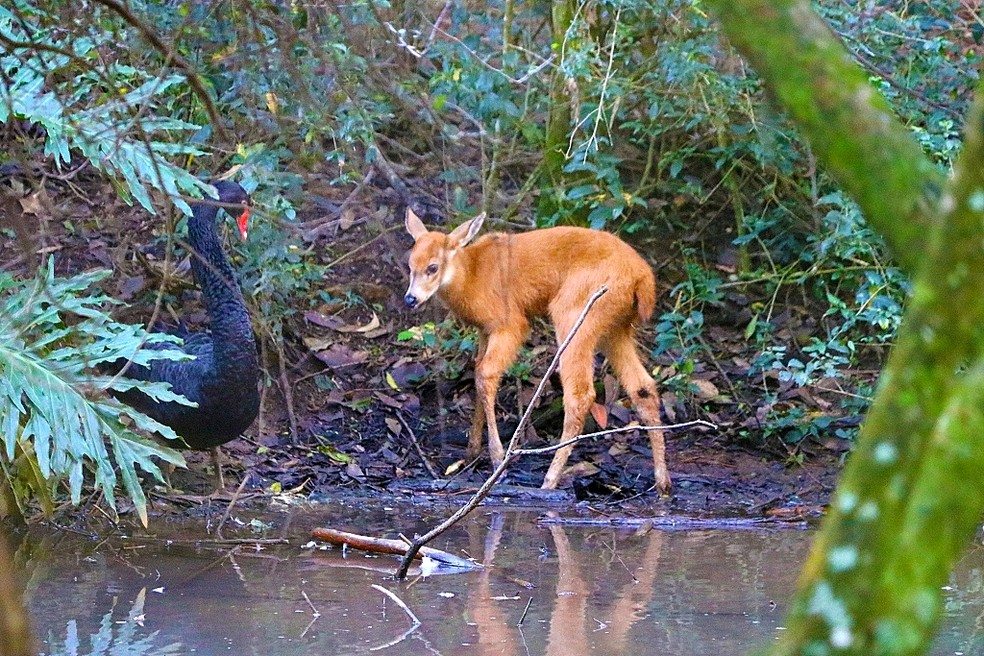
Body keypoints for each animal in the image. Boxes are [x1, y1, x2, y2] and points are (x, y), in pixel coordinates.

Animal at [403, 208, 671, 493]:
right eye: (410, 265)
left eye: (433, 267)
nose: (410, 299)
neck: (472, 278)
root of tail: (643, 278)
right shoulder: (485, 329)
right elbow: (477, 374)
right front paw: (471, 451)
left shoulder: (510, 322)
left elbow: (486, 375)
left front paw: (497, 457)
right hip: (616, 327)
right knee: (643, 388)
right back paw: (663, 484)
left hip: (575, 312)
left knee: (581, 394)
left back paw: (549, 480)